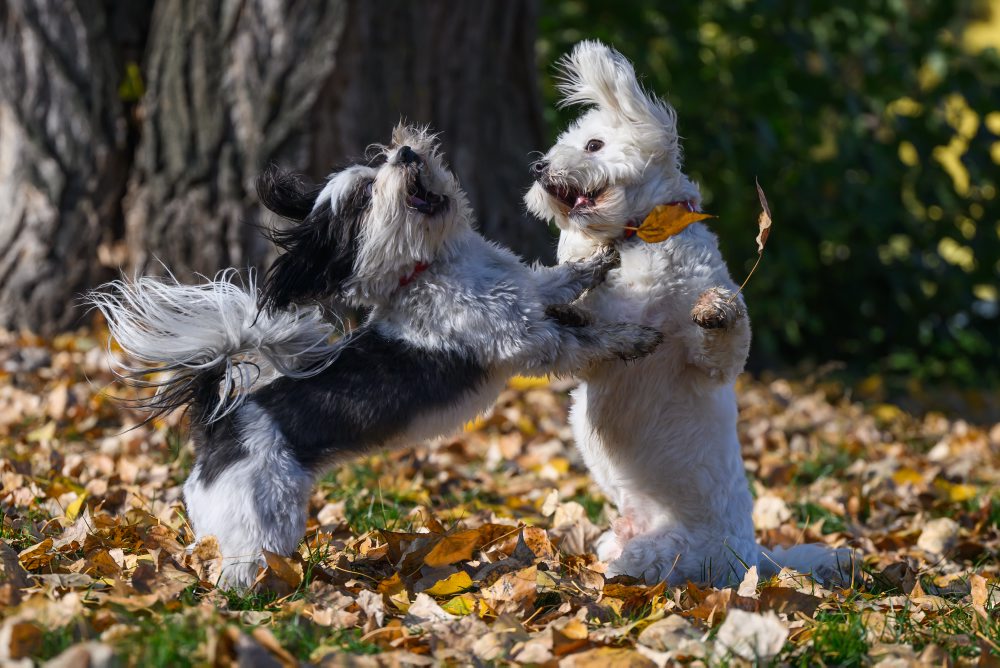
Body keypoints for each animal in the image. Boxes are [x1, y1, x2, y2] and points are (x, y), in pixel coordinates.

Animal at [90, 124, 660, 584]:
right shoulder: (524, 338)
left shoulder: (528, 295)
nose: (404, 151)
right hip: (261, 517)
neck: (433, 266)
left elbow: (554, 282)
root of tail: (217, 424)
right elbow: (584, 341)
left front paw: (597, 261)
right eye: (367, 195)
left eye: (380, 163)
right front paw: (635, 338)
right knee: (243, 565)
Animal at [528, 40, 856, 584]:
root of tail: (753, 556)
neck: (640, 239)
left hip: (670, 554)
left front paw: (717, 310)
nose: (538, 167)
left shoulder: (707, 363)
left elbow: (726, 342)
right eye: (559, 147)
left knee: (630, 568)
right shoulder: (593, 350)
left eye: (594, 145)